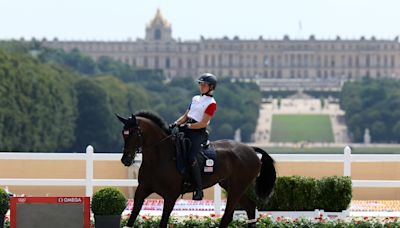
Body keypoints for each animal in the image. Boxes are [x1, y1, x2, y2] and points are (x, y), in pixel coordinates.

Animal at [117, 111, 276, 227]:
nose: (126, 160)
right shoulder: (141, 191)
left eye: (135, 133)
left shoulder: (170, 196)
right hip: (231, 186)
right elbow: (131, 219)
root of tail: (250, 149)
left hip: (237, 188)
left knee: (228, 216)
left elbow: (163, 223)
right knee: (249, 208)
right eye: (123, 133)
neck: (159, 159)